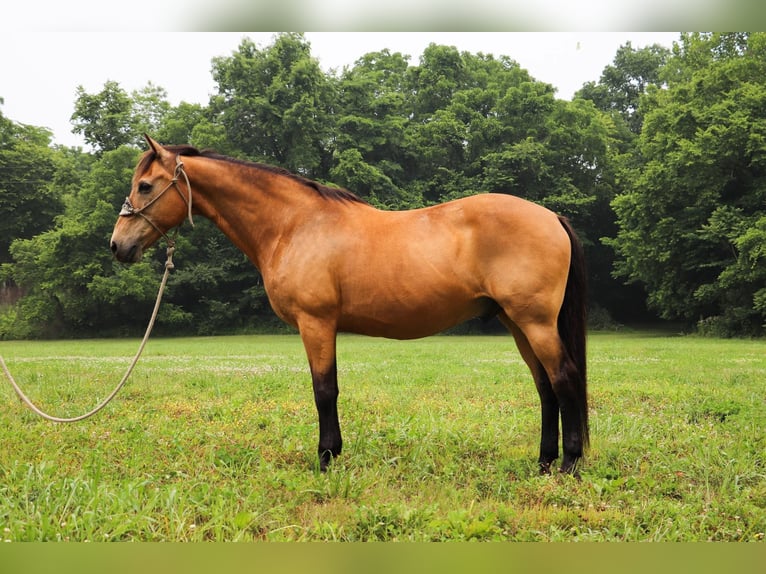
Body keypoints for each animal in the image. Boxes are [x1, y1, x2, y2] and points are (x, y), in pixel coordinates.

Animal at [111, 136, 592, 476]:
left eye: (145, 185)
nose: (118, 245)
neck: (294, 224)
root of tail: (551, 217)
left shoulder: (316, 323)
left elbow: (325, 390)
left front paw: (327, 459)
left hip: (535, 322)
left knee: (564, 379)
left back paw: (568, 465)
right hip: (517, 323)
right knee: (545, 387)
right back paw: (543, 463)